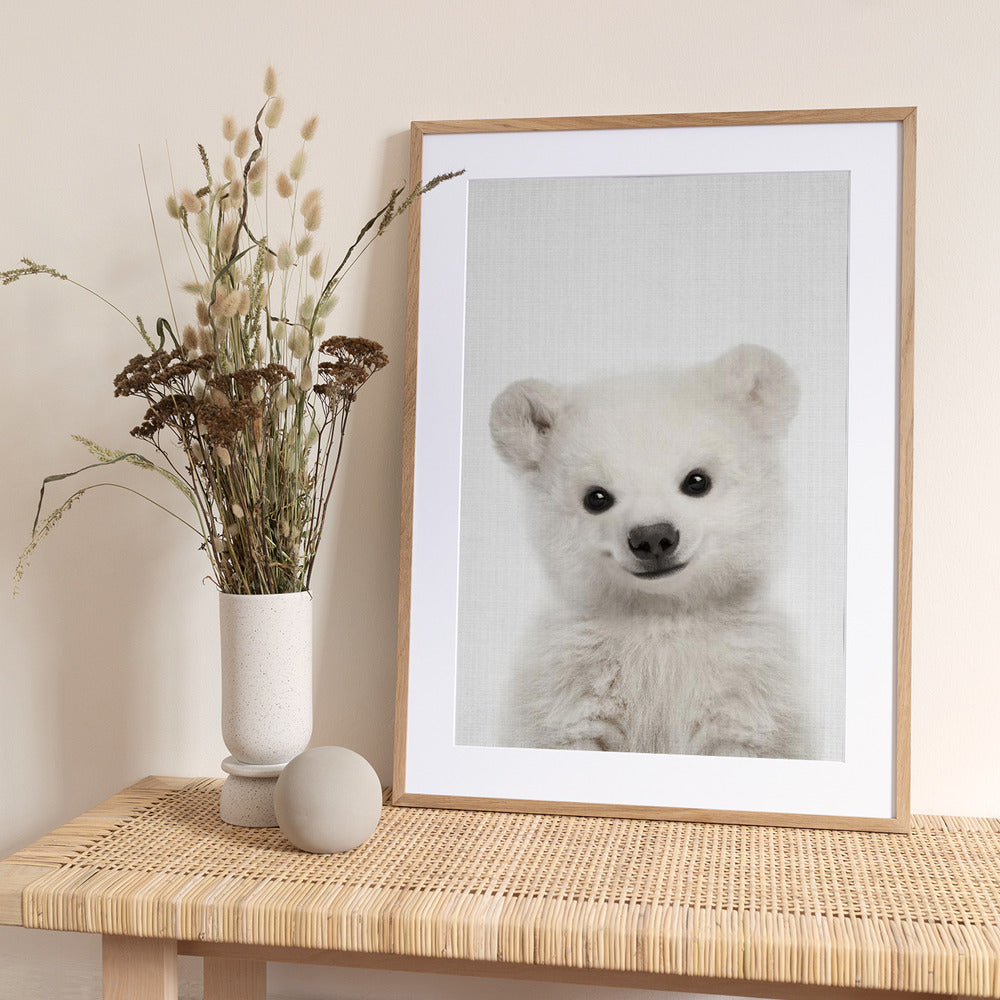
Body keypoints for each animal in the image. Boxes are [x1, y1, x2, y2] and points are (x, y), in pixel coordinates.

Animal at [488, 344, 810, 759]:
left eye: (697, 480)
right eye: (596, 497)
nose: (653, 537)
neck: (661, 617)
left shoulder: (748, 691)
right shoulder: (570, 686)